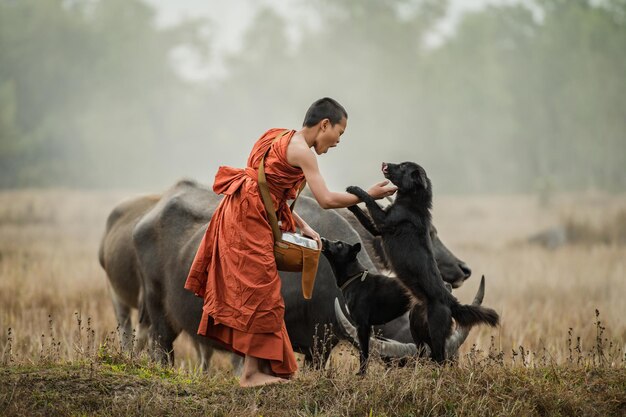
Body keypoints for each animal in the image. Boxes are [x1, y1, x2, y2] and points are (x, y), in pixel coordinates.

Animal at [344, 161, 500, 362]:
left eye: (402, 167)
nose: (385, 163)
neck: (412, 202)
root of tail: (451, 302)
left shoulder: (383, 221)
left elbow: (369, 200)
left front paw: (355, 189)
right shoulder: (377, 229)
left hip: (436, 333)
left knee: (441, 358)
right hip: (417, 326)